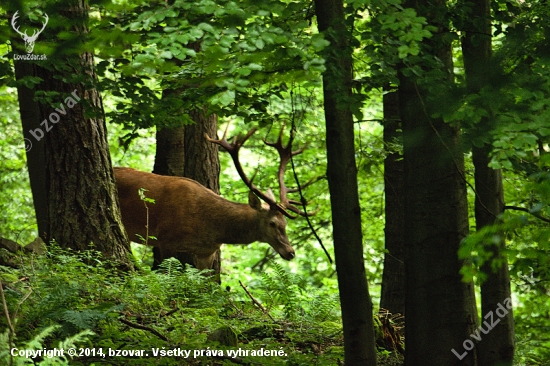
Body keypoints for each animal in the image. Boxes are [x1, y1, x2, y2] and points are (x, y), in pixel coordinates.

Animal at [114, 127, 312, 270]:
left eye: (285, 223)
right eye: (272, 223)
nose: (291, 252)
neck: (210, 227)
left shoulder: (207, 252)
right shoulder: (165, 239)